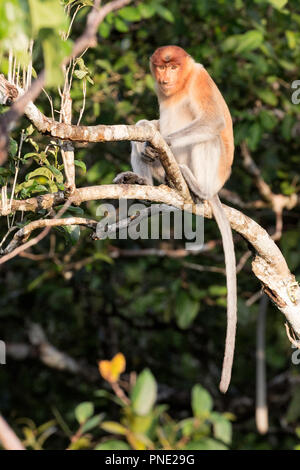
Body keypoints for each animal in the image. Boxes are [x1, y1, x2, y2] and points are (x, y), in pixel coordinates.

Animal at [114, 46, 237, 392]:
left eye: (173, 67)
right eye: (160, 67)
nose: (165, 78)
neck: (180, 87)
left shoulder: (199, 80)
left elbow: (213, 120)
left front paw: (162, 142)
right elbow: (147, 124)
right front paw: (147, 134)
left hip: (211, 172)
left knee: (207, 137)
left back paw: (195, 187)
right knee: (142, 136)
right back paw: (144, 182)